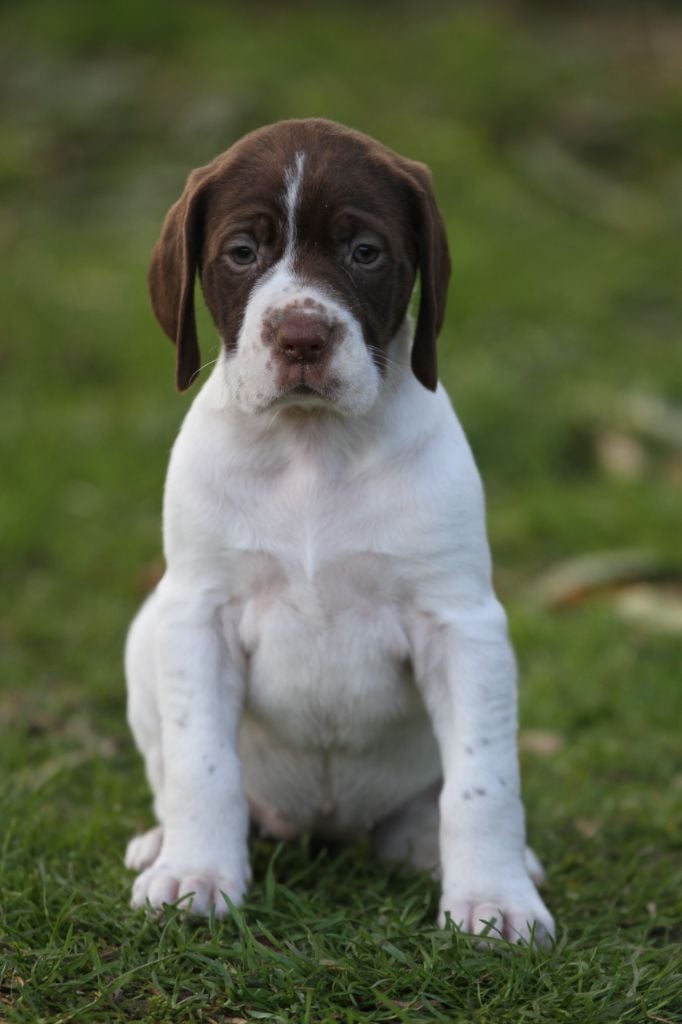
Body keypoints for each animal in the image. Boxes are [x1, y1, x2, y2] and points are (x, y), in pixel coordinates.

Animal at [125, 117, 552, 942]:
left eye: (365, 251)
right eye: (243, 252)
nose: (300, 337)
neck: (312, 449)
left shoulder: (462, 624)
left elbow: (483, 781)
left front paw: (495, 900)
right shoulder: (196, 613)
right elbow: (201, 763)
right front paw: (197, 874)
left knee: (433, 799)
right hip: (147, 629)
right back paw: (166, 843)